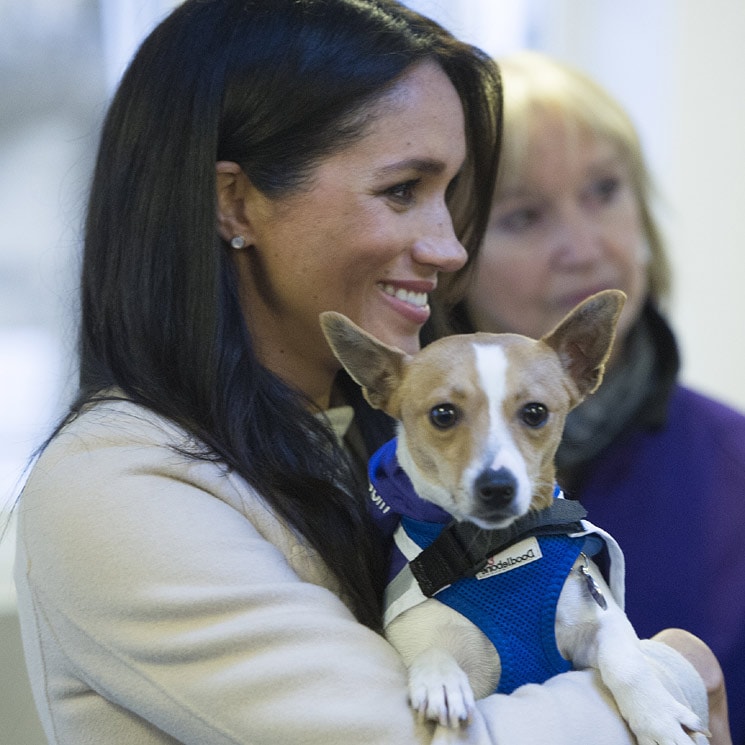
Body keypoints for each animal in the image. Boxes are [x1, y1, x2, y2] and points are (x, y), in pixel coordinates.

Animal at [320, 290, 704, 744]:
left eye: (535, 412)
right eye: (443, 414)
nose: (497, 486)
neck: (499, 549)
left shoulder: (602, 623)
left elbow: (626, 663)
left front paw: (658, 716)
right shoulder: (421, 639)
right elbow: (433, 652)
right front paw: (439, 679)